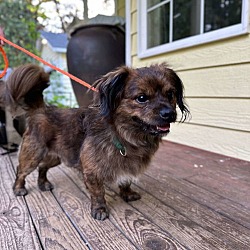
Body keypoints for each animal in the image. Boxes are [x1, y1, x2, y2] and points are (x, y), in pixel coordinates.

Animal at [3, 63, 188, 220]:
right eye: (141, 98)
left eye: (170, 94)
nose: (169, 113)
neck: (123, 134)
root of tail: (41, 110)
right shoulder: (92, 172)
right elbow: (98, 193)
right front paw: (100, 210)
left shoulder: (126, 165)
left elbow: (125, 180)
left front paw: (127, 194)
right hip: (33, 155)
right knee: (21, 171)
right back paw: (19, 188)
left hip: (57, 156)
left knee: (43, 167)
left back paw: (43, 184)